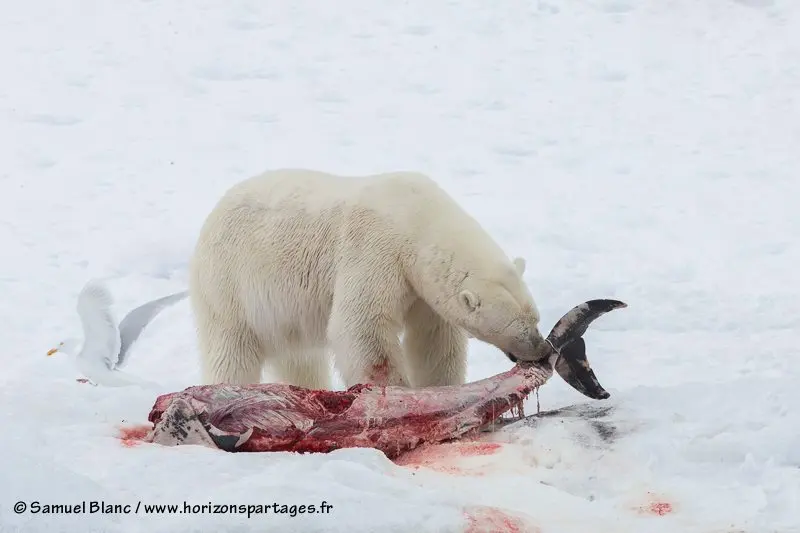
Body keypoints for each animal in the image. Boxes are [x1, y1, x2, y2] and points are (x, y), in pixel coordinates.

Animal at [189, 168, 552, 388]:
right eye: (515, 327)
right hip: (230, 285)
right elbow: (362, 327)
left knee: (301, 358)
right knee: (232, 353)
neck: (416, 218)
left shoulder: (421, 289)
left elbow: (434, 340)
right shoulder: (375, 250)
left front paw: (442, 388)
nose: (542, 349)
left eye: (535, 318)